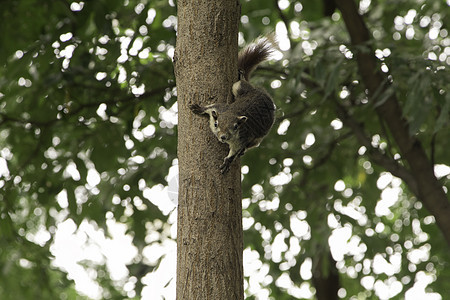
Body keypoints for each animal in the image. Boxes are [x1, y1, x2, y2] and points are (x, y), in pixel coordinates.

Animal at [189, 36, 276, 175]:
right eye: (216, 124)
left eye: (235, 127)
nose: (223, 137)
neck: (232, 113)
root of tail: (262, 93)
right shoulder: (220, 108)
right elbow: (210, 107)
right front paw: (199, 108)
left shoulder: (242, 137)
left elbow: (235, 151)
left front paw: (227, 162)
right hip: (238, 87)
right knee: (241, 83)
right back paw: (241, 75)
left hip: (259, 135)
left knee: (252, 143)